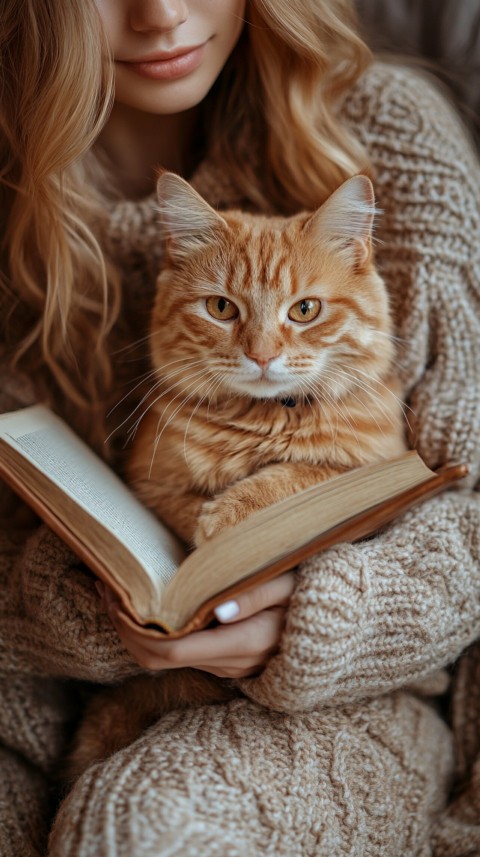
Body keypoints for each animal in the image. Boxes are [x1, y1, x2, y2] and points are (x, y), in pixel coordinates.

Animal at [66, 171, 404, 780]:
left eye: (305, 310)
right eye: (222, 308)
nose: (262, 355)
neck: (262, 420)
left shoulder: (379, 468)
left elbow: (306, 477)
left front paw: (233, 521)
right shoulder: (151, 483)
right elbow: (184, 511)